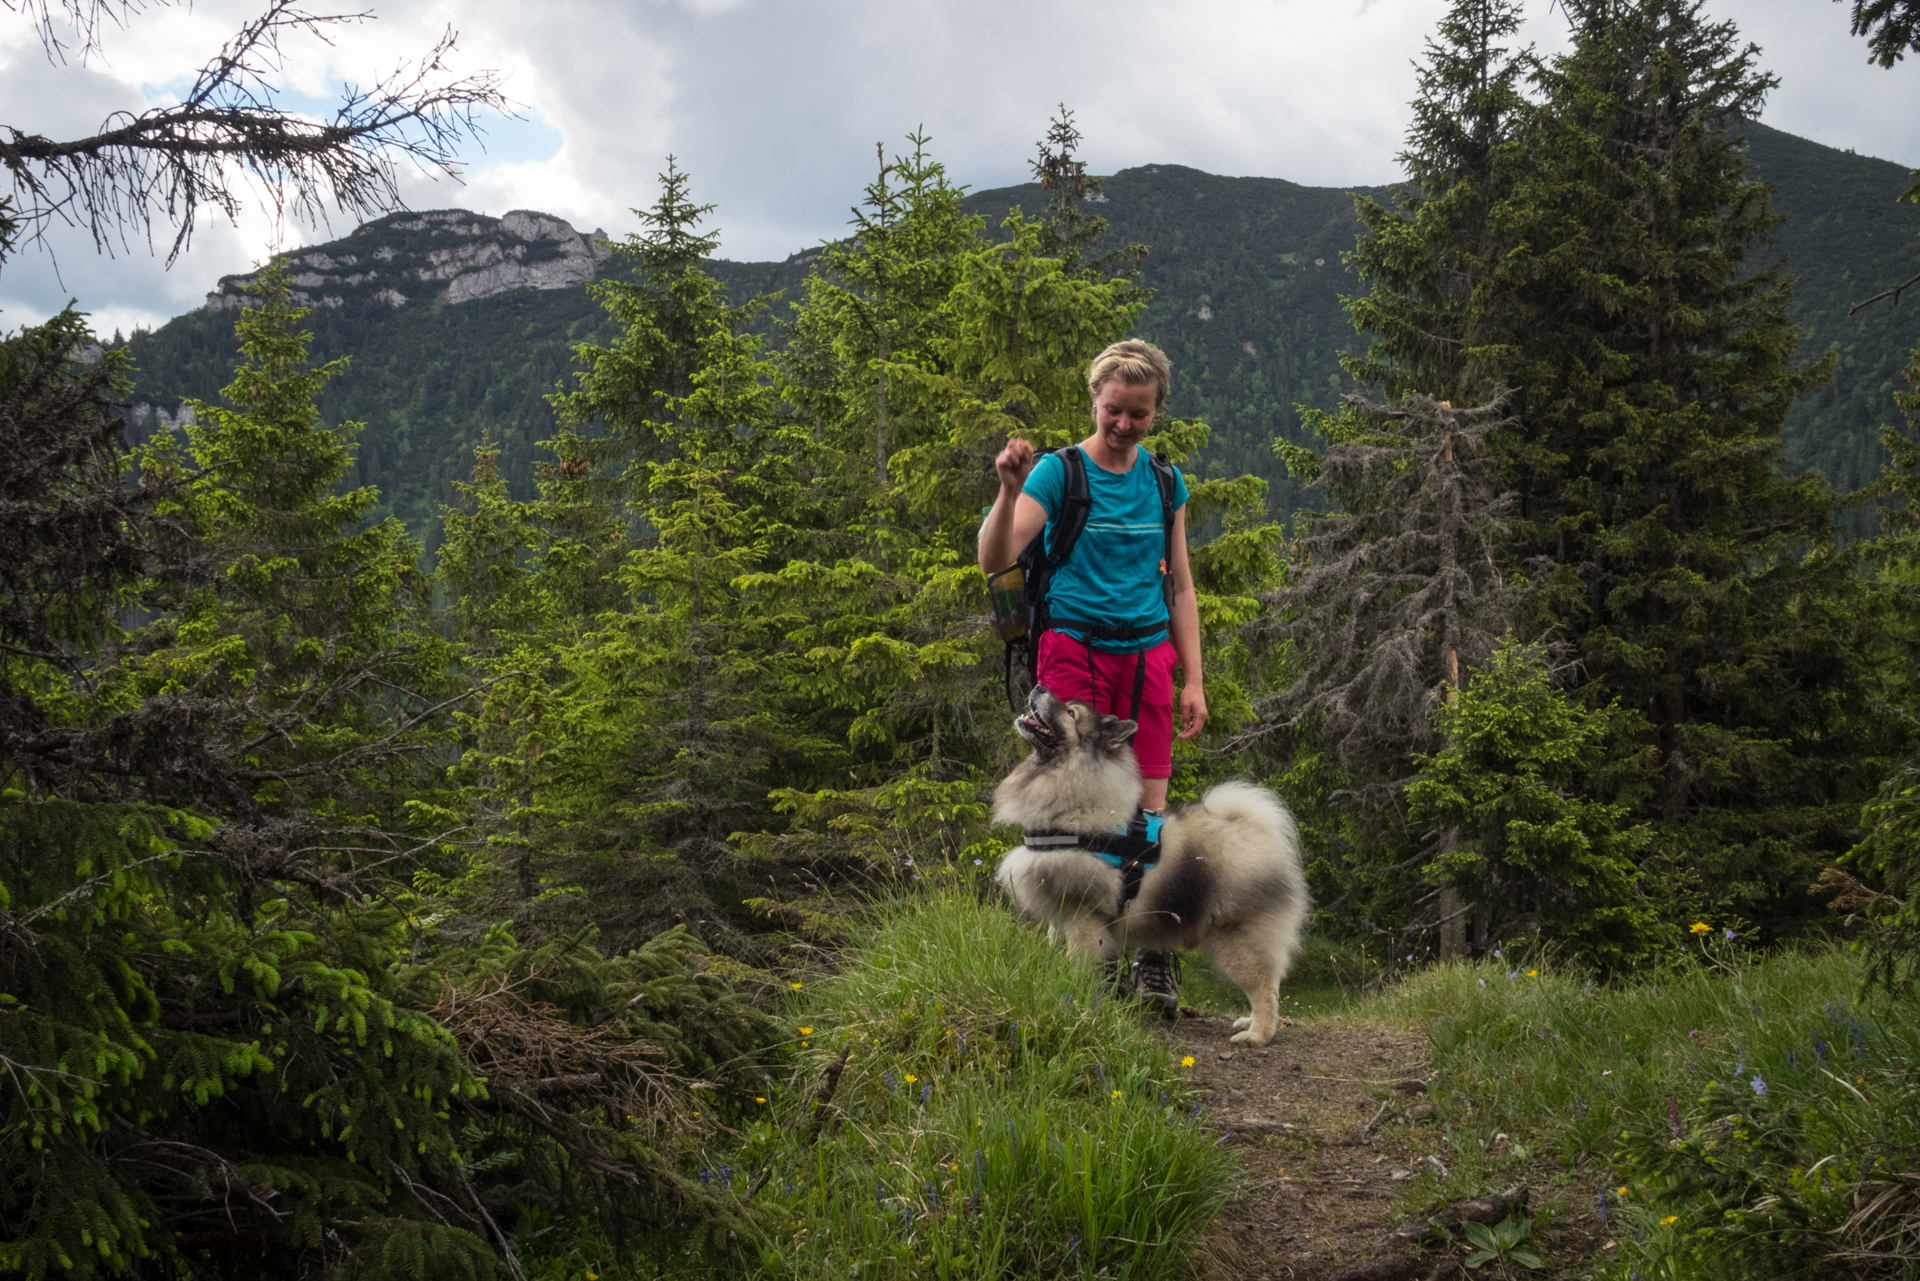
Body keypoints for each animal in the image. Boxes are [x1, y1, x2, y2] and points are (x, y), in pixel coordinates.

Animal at [998, 691, 1313, 1044]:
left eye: (1071, 712)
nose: (1038, 687)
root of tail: (1258, 834)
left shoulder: (1083, 918)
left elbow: (1078, 962)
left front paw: (1074, 992)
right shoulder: (1063, 912)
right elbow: (1056, 944)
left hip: (1239, 942)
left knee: (1265, 989)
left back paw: (1257, 1034)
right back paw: (1248, 1022)